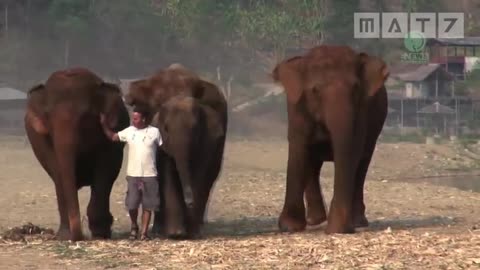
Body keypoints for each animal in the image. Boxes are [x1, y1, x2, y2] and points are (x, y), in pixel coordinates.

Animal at [24, 67, 129, 240]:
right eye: (48, 116)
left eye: (85, 116)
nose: (78, 236)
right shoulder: (42, 140)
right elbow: (57, 171)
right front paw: (64, 236)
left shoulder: (113, 137)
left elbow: (105, 171)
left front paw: (100, 234)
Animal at [124, 63, 229, 238]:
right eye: (165, 128)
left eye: (196, 128)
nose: (189, 201)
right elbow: (166, 171)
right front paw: (176, 233)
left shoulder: (208, 137)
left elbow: (200, 170)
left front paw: (192, 233)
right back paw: (160, 229)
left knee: (210, 175)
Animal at [270, 44, 390, 234]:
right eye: (315, 90)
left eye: (356, 88)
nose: (339, 229)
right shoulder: (296, 108)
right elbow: (299, 149)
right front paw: (290, 227)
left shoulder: (362, 111)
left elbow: (353, 150)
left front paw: (339, 228)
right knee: (313, 162)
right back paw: (315, 220)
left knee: (362, 165)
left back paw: (356, 222)